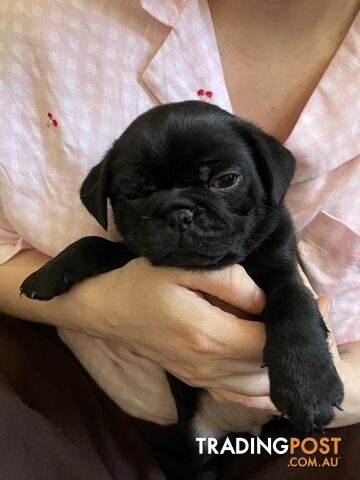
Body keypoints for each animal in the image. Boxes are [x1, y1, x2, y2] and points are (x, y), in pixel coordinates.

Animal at [20, 100, 344, 472]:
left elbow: (294, 307)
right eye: (133, 194)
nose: (178, 213)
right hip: (196, 442)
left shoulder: (283, 270)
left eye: (225, 180)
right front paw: (49, 273)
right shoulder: (132, 252)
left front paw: (308, 387)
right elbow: (94, 243)